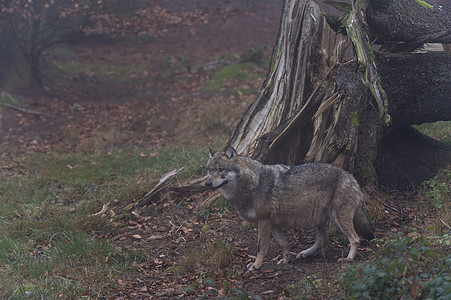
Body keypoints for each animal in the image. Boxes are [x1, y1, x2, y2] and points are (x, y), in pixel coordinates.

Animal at [205, 146, 374, 270]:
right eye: (209, 170)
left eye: (220, 170)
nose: (207, 183)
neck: (252, 184)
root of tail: (349, 175)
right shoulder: (273, 223)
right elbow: (283, 244)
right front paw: (286, 260)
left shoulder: (264, 221)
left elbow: (261, 247)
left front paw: (256, 265)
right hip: (318, 220)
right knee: (323, 239)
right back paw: (304, 253)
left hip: (338, 218)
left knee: (355, 239)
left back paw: (348, 259)